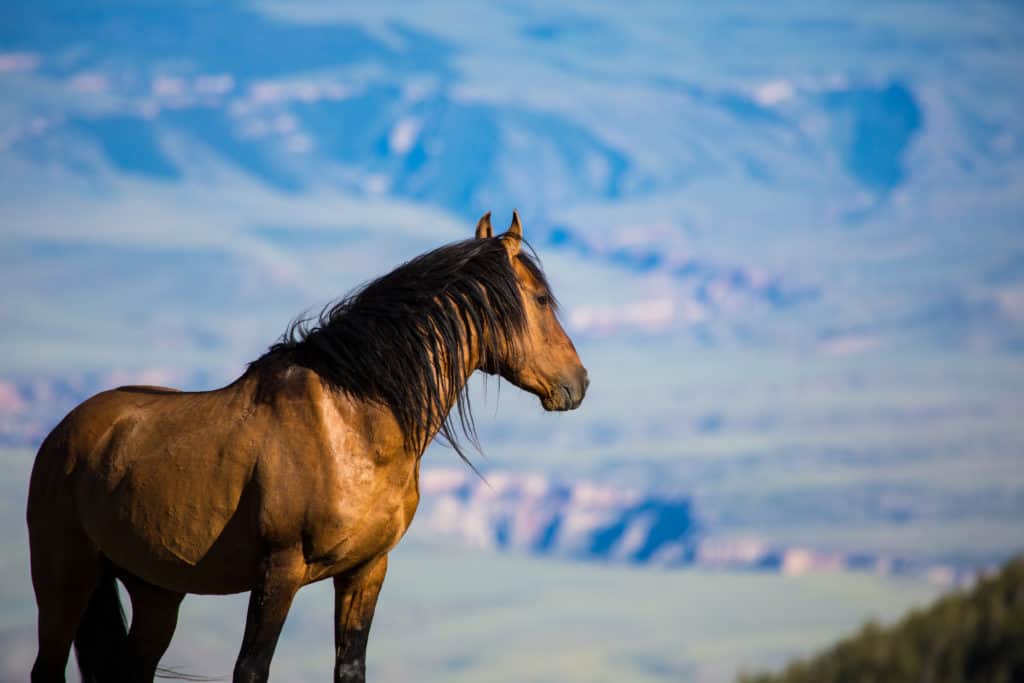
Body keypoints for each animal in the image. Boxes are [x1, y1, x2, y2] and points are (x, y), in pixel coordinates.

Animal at [27, 211, 589, 683]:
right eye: (541, 300)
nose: (578, 383)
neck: (354, 424)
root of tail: (63, 434)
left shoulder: (367, 569)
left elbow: (350, 667)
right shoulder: (280, 571)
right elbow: (251, 669)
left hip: (155, 589)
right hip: (65, 579)